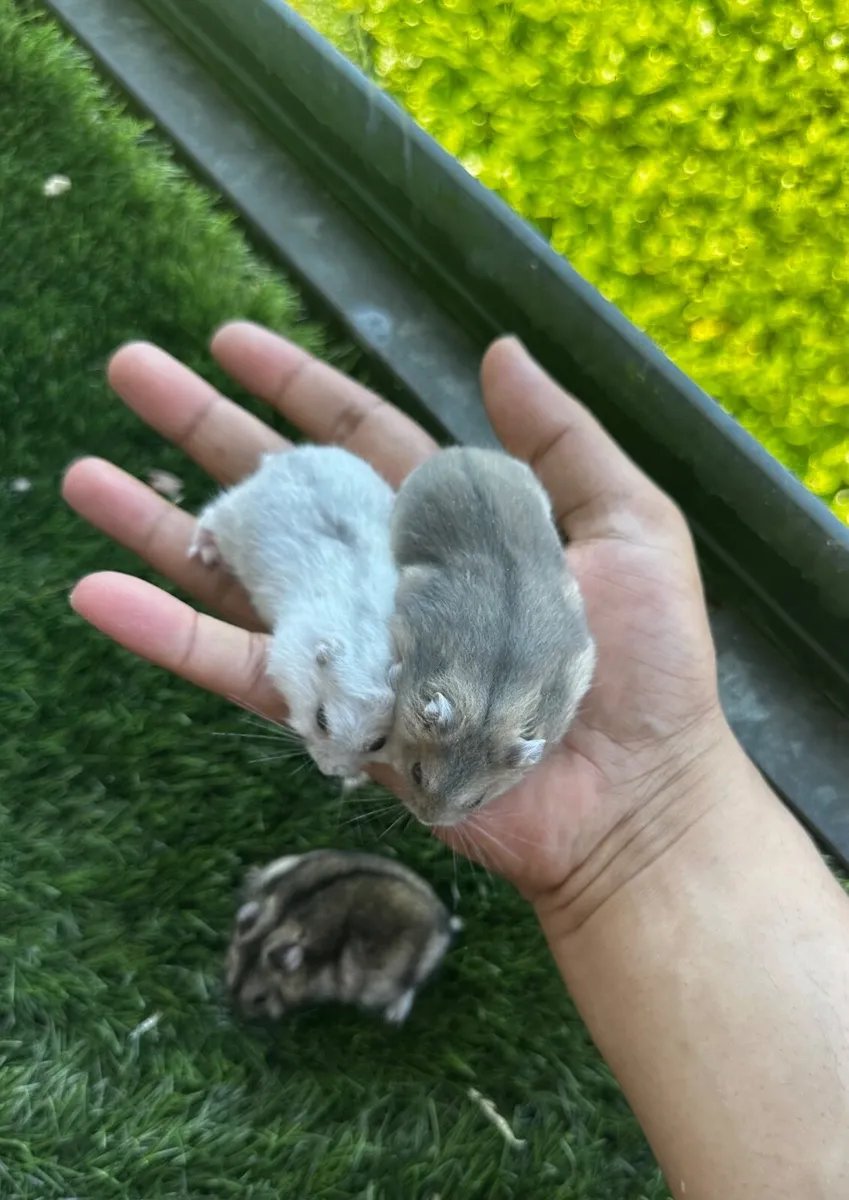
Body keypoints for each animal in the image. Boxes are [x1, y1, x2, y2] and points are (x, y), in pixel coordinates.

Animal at [189, 446, 399, 782]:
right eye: (321, 720)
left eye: (379, 743)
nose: (331, 772)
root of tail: (285, 457)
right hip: (232, 514)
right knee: (209, 515)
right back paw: (203, 553)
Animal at [225, 849, 461, 1024]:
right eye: (229, 973)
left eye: (260, 999)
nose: (236, 1015)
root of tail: (444, 923)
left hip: (385, 983)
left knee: (411, 984)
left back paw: (393, 1017)